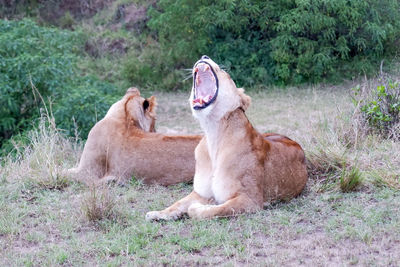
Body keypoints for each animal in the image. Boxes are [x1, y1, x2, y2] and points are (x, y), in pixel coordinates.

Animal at [147, 55, 306, 221]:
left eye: (225, 72)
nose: (204, 56)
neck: (213, 131)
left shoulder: (251, 200)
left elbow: (212, 210)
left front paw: (199, 207)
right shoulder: (200, 192)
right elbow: (178, 203)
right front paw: (158, 213)